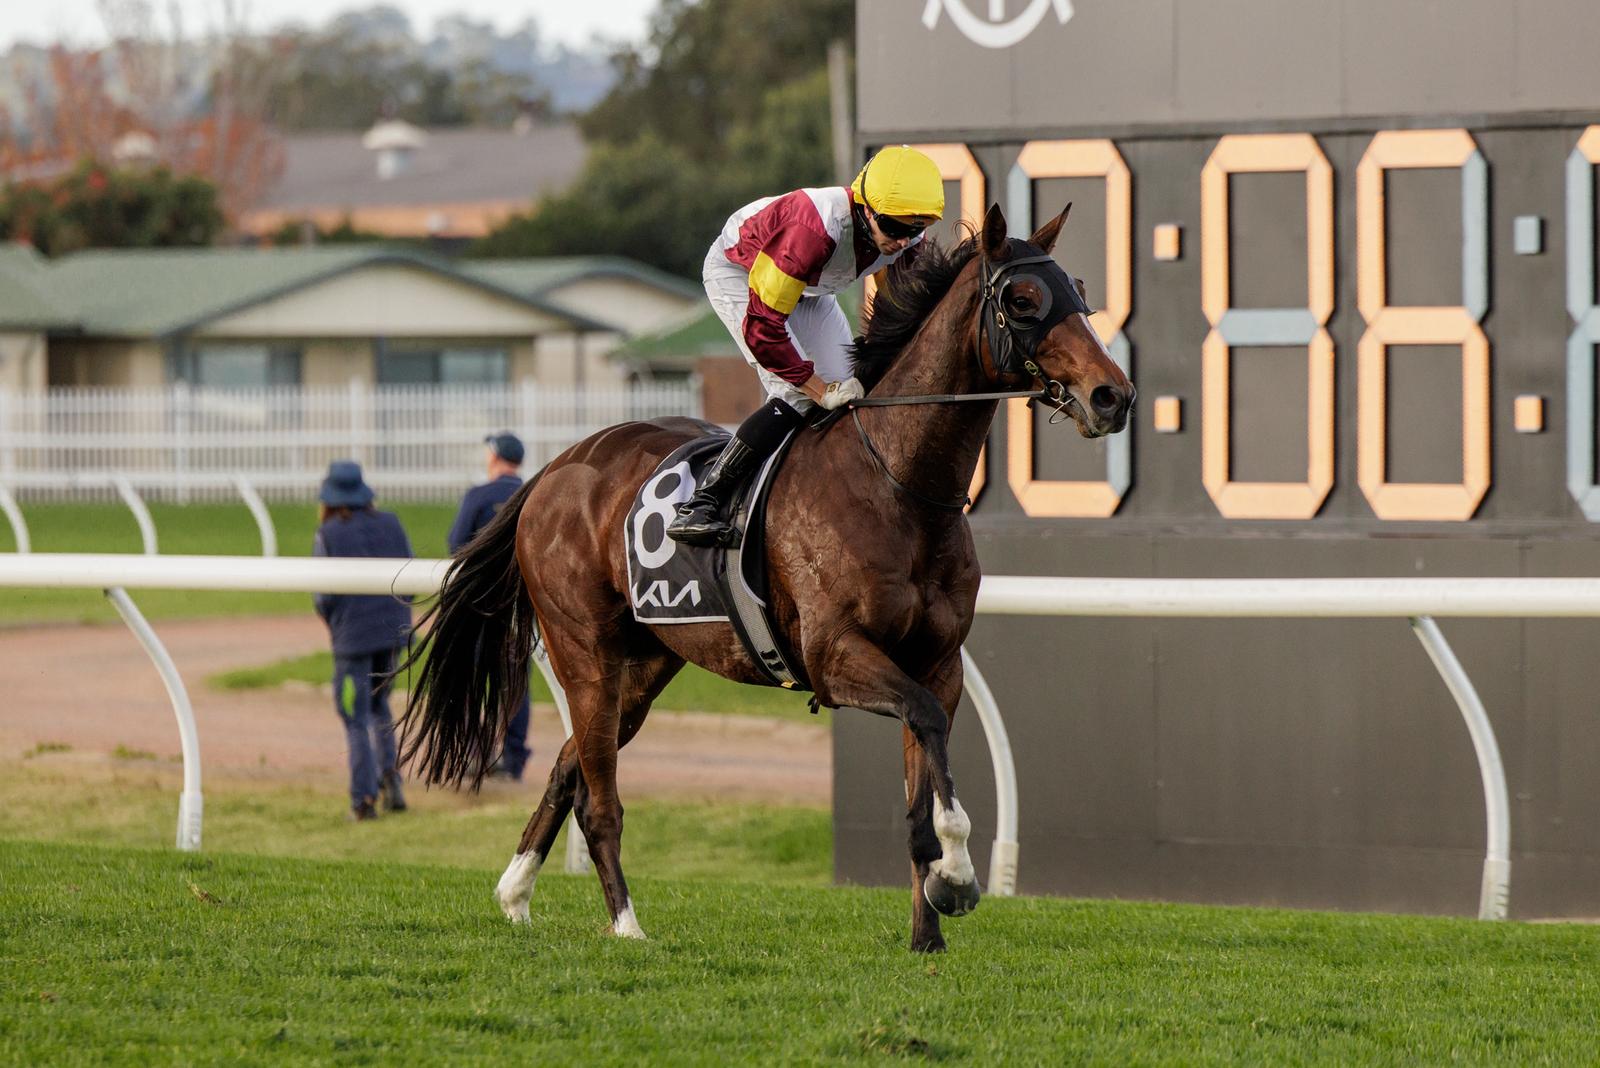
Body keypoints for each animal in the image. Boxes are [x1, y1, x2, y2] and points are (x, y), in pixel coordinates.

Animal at [399, 202, 1134, 952]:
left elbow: (921, 784)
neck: (896, 482)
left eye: (1077, 290)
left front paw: (928, 930)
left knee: (564, 769)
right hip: (586, 654)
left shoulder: (938, 663)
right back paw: (627, 926)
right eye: (1022, 300)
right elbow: (927, 742)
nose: (1113, 395)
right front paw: (957, 878)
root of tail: (553, 469)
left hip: (644, 666)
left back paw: (515, 894)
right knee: (599, 801)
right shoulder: (835, 656)